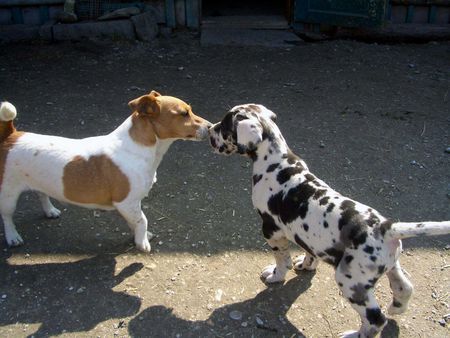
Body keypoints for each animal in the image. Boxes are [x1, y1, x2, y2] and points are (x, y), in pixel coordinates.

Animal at [0, 91, 211, 252]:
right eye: (184, 114)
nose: (211, 127)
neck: (138, 147)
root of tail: (11, 135)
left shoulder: (131, 204)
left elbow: (135, 221)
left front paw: (139, 236)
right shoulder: (126, 202)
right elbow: (142, 220)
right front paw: (142, 243)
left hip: (39, 181)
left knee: (41, 194)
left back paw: (50, 210)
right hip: (8, 194)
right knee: (7, 216)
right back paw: (13, 237)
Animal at [208, 104, 450, 336]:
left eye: (225, 126)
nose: (210, 130)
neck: (277, 162)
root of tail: (386, 228)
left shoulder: (271, 230)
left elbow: (282, 259)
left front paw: (276, 275)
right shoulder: (308, 236)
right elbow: (310, 251)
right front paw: (306, 265)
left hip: (351, 281)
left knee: (375, 319)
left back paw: (354, 334)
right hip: (390, 266)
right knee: (404, 287)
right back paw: (396, 308)